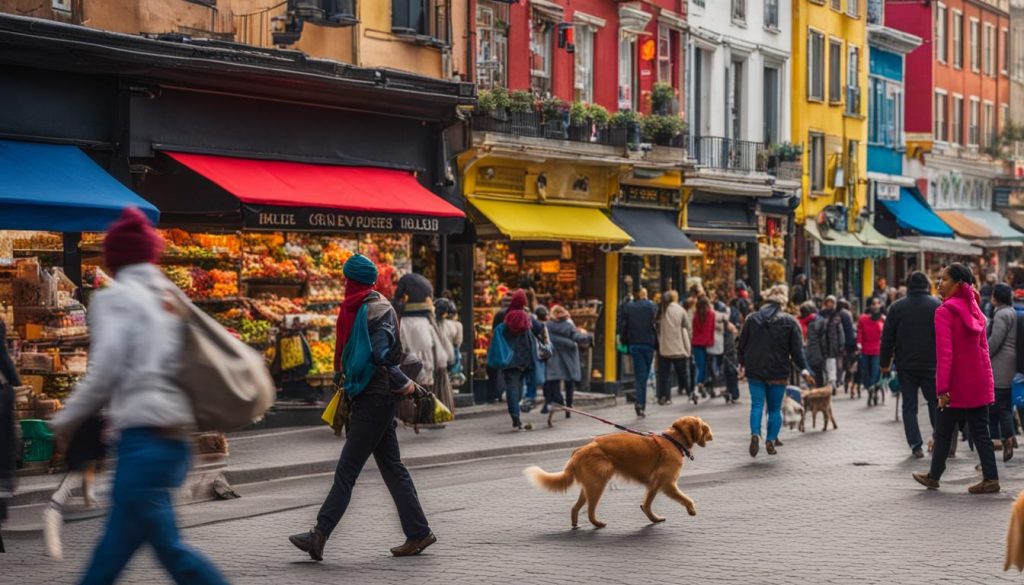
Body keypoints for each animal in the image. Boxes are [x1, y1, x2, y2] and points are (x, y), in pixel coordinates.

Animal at [524, 415, 708, 532]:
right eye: (704, 428)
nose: (711, 433)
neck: (673, 441)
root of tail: (579, 451)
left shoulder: (654, 484)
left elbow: (647, 504)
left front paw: (653, 518)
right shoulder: (667, 484)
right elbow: (685, 498)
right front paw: (691, 509)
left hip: (588, 485)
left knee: (575, 508)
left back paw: (576, 524)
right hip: (597, 484)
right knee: (590, 511)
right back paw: (597, 524)